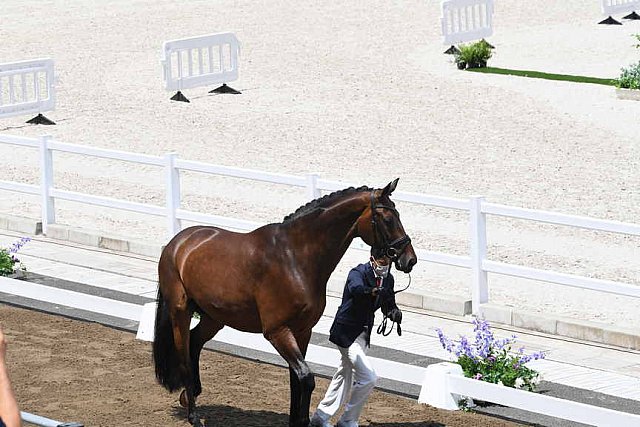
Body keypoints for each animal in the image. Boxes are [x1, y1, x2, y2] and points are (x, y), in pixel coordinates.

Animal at [152, 179, 418, 426]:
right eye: (387, 218)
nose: (410, 259)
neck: (294, 259)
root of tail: (178, 242)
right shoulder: (277, 331)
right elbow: (306, 378)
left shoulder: (302, 331)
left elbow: (296, 380)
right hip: (181, 311)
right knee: (184, 354)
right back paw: (193, 415)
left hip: (214, 317)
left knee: (196, 342)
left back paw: (190, 395)